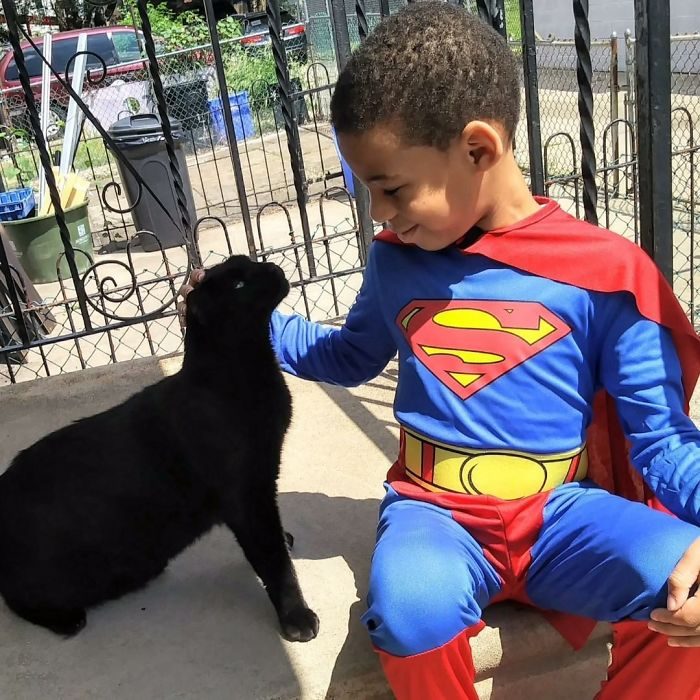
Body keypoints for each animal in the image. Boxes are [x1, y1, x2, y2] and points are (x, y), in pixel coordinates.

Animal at [0, 254, 318, 644]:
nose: (272, 267)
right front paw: (296, 616)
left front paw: (285, 540)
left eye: (251, 261)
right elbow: (273, 560)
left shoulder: (263, 480)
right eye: (239, 284)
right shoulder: (245, 496)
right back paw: (67, 619)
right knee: (16, 596)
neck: (245, 371)